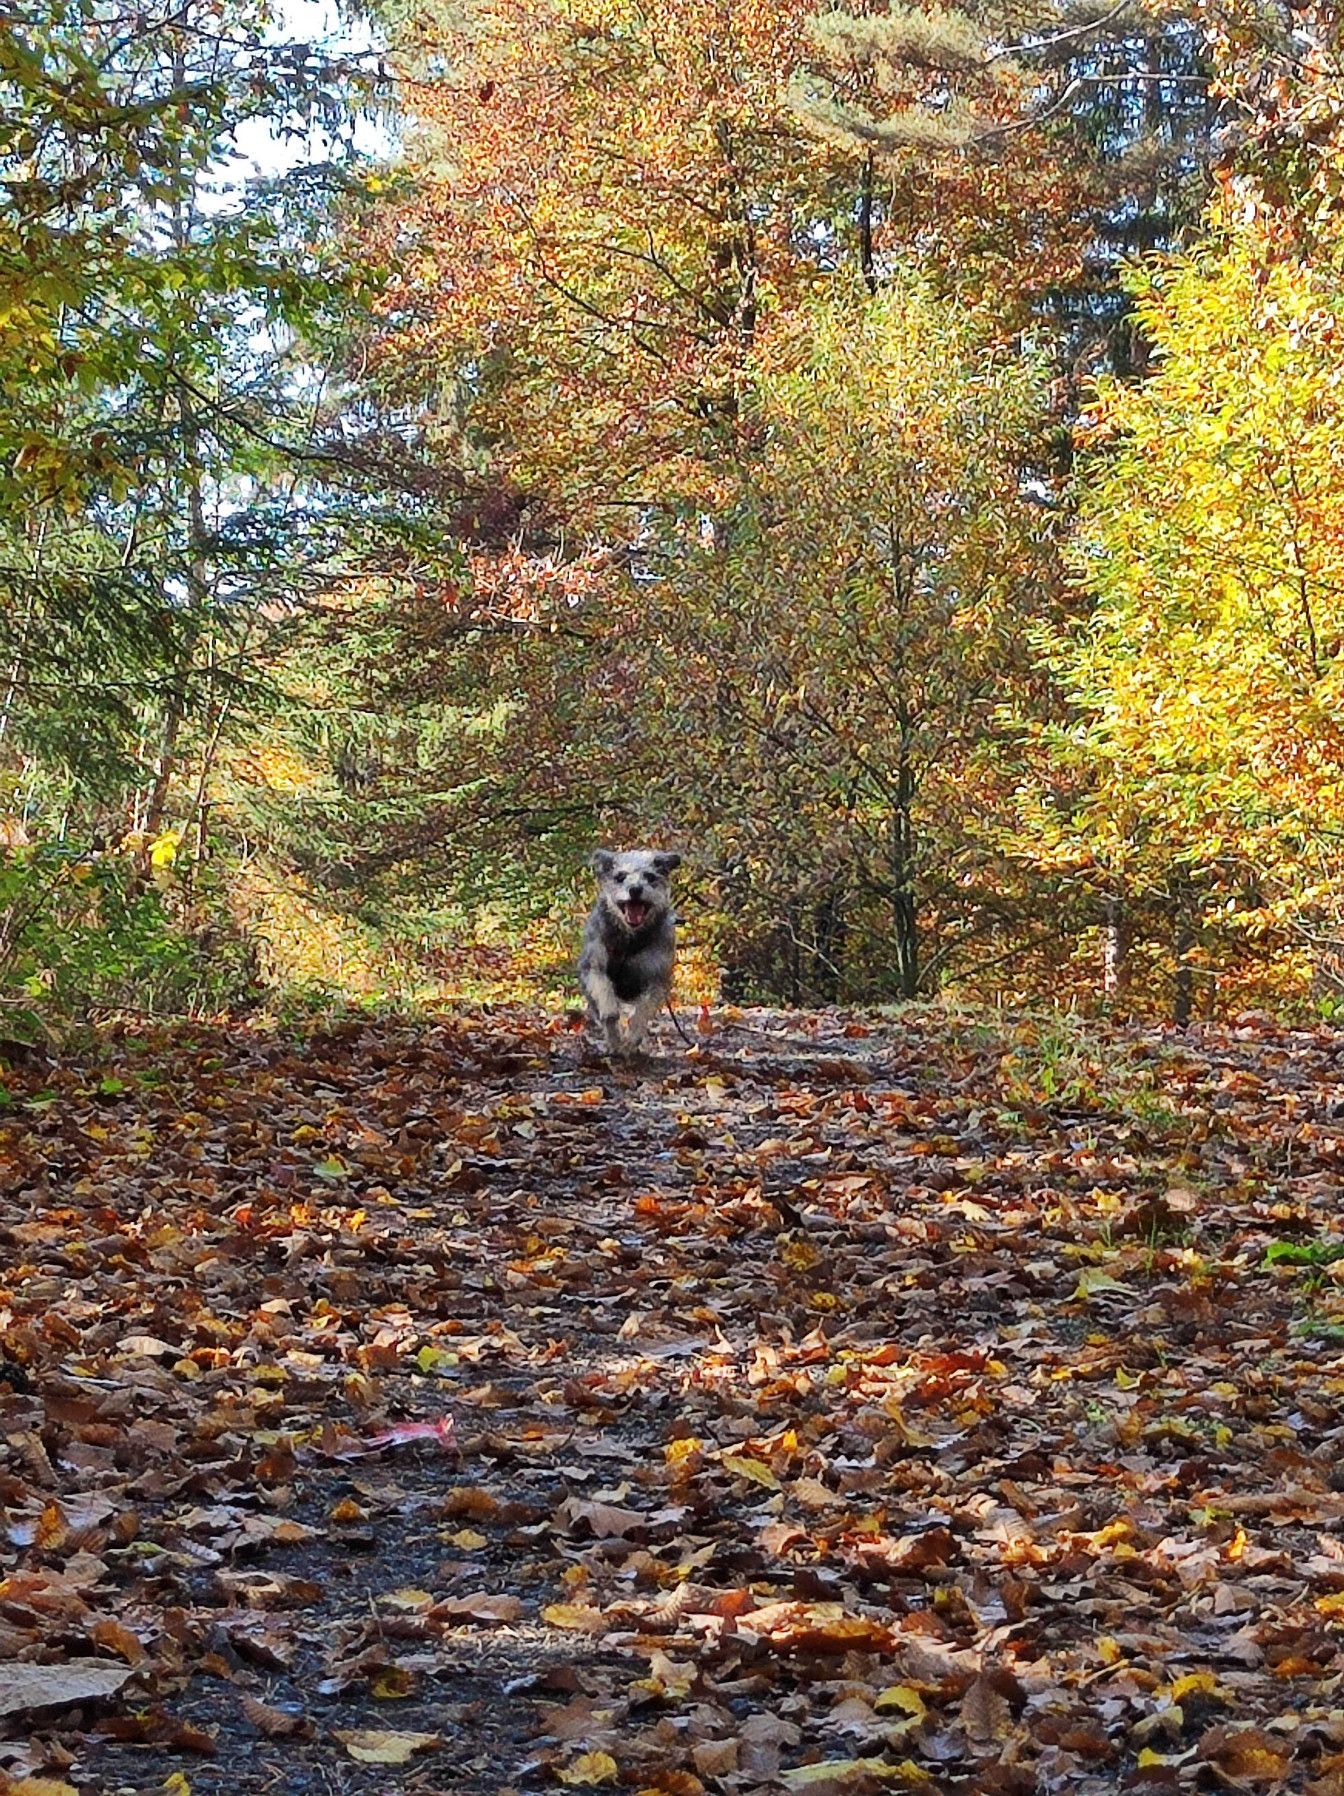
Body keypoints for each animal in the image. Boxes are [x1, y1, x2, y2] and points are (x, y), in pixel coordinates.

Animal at [578, 851, 682, 1048]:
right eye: (620, 877)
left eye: (650, 877)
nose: (635, 889)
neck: (630, 940)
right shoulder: (594, 965)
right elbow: (605, 996)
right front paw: (612, 1025)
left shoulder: (657, 978)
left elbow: (644, 1009)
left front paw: (633, 1035)